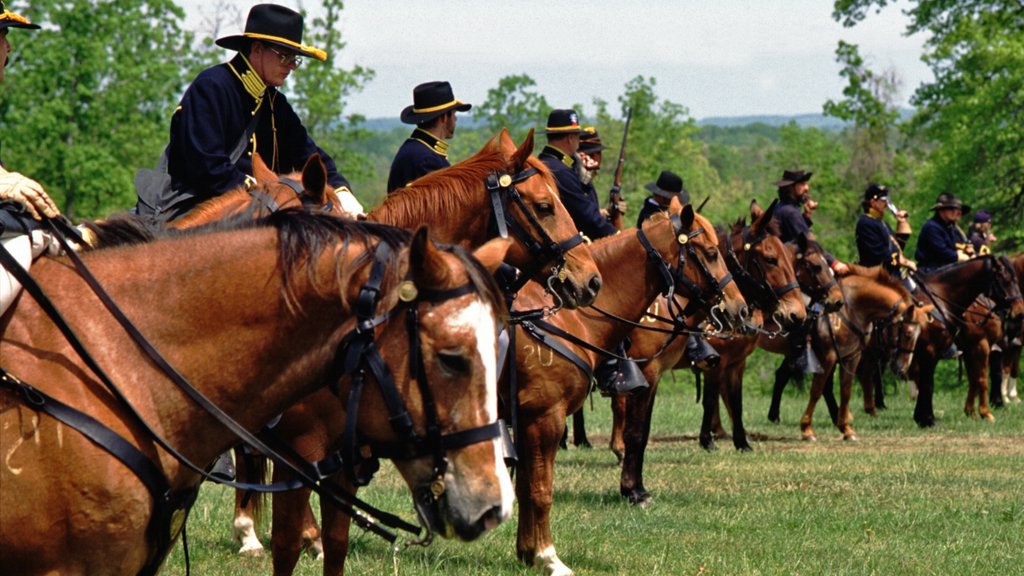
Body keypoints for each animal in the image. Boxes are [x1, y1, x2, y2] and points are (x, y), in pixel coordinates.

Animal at [509, 203, 745, 569]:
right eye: (710, 252)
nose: (740, 307)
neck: (566, 319)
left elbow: (525, 486)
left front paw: (527, 553)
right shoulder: (546, 416)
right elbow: (542, 487)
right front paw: (633, 491)